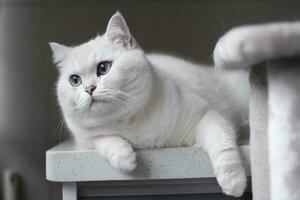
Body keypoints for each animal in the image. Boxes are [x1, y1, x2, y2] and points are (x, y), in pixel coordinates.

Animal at [49, 12, 248, 197]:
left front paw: (234, 183)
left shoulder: (206, 115)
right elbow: (104, 139)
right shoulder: (84, 139)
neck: (128, 123)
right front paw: (125, 158)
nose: (89, 89)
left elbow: (223, 146)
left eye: (103, 68)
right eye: (75, 80)